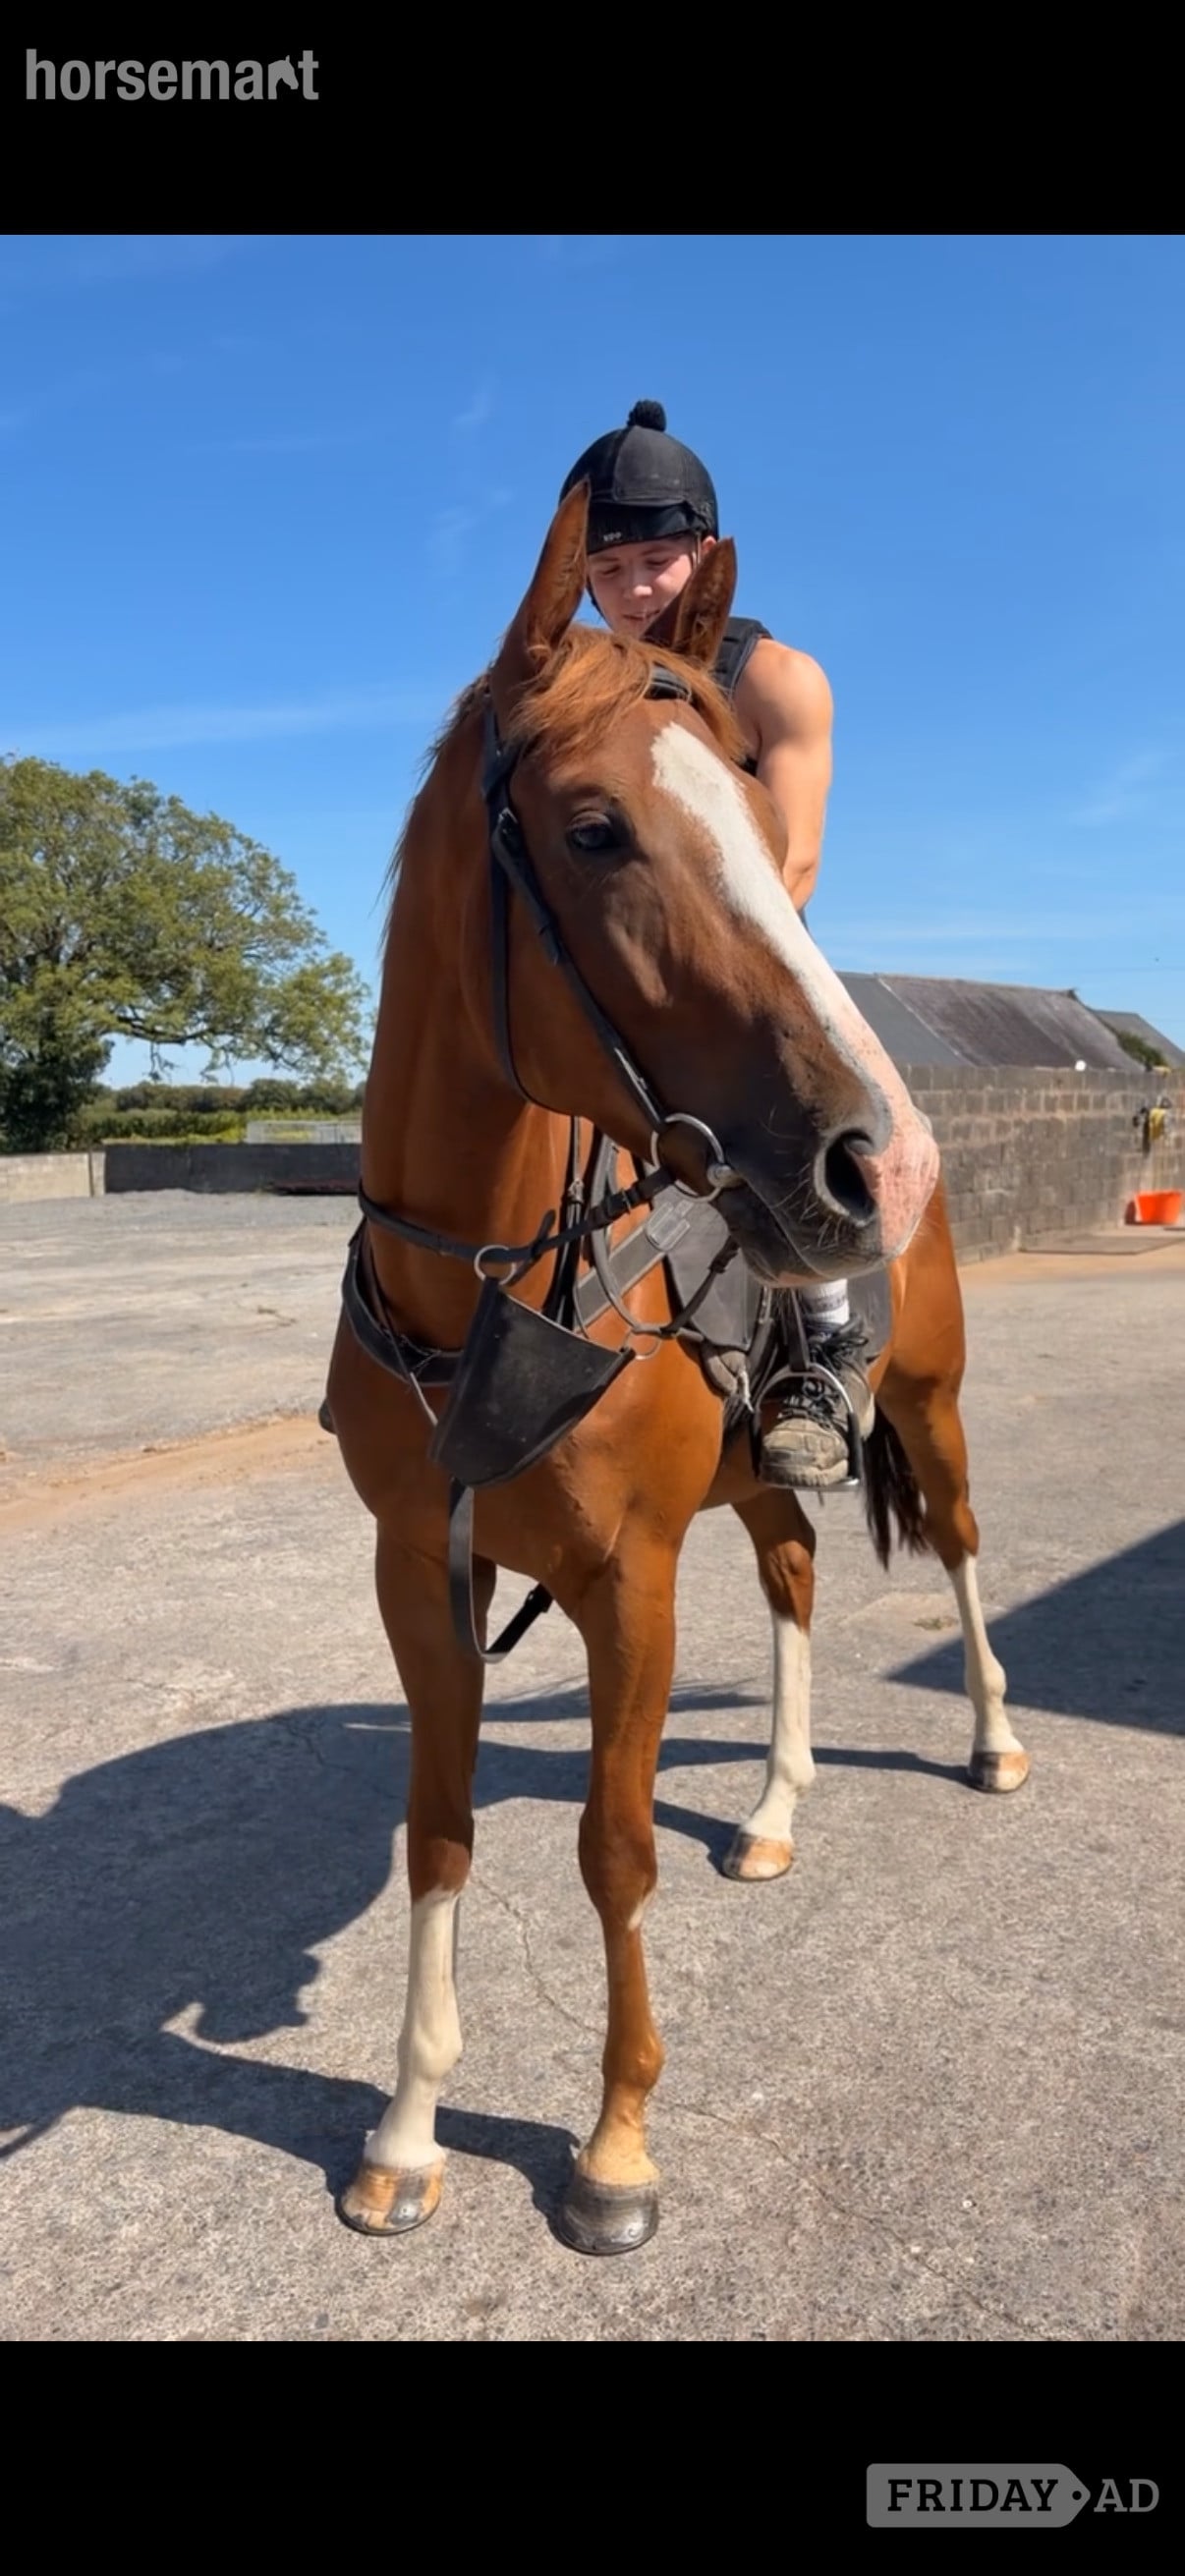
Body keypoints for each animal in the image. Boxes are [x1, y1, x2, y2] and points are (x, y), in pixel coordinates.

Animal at [322, 482, 1029, 2257]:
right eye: (592, 829)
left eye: (755, 821)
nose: (879, 1163)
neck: (479, 1298)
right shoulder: (419, 1573)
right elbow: (440, 1832)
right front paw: (407, 2129)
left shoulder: (622, 1577)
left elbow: (614, 1845)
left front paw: (615, 2146)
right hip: (755, 1475)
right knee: (791, 1576)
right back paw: (773, 1809)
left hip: (928, 1407)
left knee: (961, 1551)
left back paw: (993, 1740)